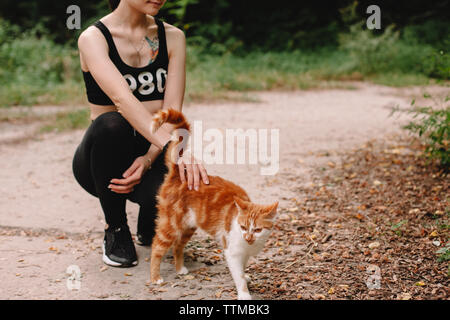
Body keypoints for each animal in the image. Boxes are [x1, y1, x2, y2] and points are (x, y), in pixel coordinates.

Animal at [149, 109, 280, 300]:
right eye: (242, 227)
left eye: (257, 230)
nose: (248, 238)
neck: (249, 245)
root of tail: (178, 174)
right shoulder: (232, 252)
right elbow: (238, 276)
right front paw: (244, 293)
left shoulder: (245, 253)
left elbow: (244, 268)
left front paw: (246, 275)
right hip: (170, 226)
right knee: (157, 247)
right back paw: (155, 277)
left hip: (188, 227)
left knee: (177, 246)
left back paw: (180, 269)